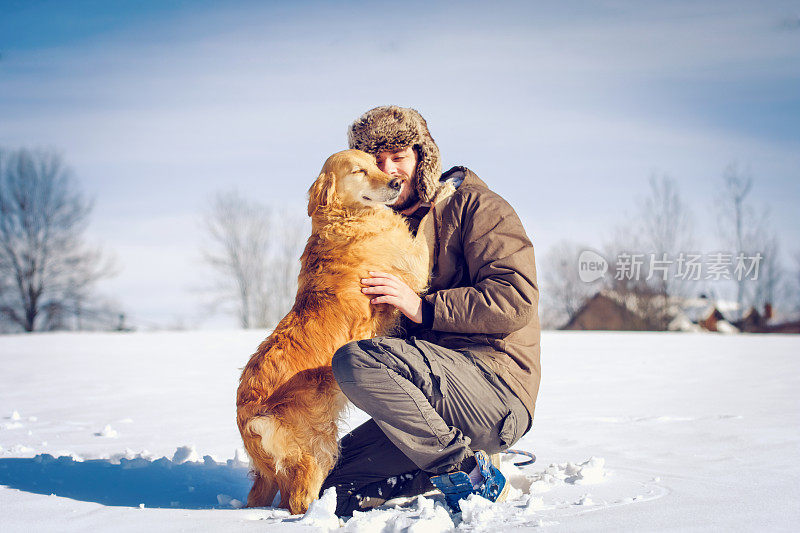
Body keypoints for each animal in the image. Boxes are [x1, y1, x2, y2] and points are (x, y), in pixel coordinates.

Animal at [236, 149, 450, 512]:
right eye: (358, 171)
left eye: (378, 165)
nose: (395, 183)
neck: (346, 217)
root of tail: (247, 414)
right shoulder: (413, 264)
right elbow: (425, 227)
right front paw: (448, 187)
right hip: (319, 445)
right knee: (300, 496)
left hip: (271, 472)